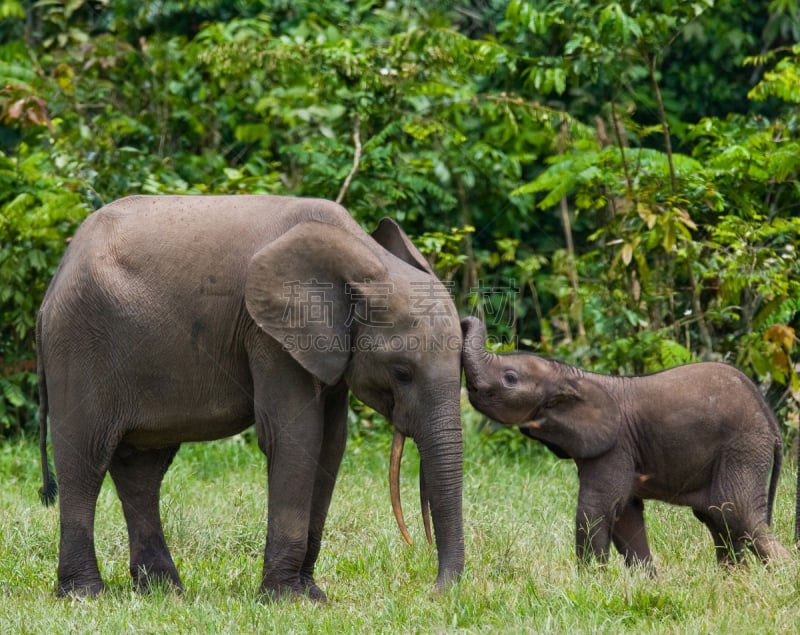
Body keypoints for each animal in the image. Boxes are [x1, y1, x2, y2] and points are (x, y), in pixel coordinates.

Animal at [36, 194, 462, 600]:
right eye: (402, 372)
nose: (435, 591)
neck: (362, 255)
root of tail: (55, 281)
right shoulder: (268, 337)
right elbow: (295, 436)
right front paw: (287, 599)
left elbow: (330, 445)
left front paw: (312, 595)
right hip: (79, 342)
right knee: (86, 458)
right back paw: (85, 594)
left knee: (142, 469)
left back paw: (163, 591)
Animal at [460, 318, 792, 572]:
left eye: (510, 377)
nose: (464, 320)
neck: (573, 376)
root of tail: (770, 420)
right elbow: (626, 517)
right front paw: (646, 582)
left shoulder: (615, 446)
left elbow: (597, 508)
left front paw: (591, 581)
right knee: (718, 519)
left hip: (743, 448)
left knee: (737, 513)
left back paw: (782, 579)